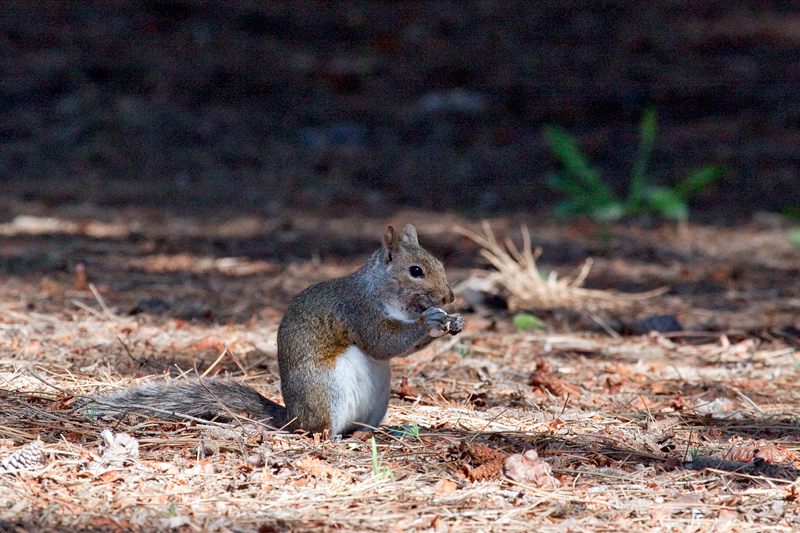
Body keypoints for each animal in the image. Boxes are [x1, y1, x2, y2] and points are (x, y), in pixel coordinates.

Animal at [94, 222, 466, 434]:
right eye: (416, 270)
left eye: (440, 262)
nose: (448, 297)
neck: (383, 289)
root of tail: (291, 417)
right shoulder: (359, 310)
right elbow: (384, 341)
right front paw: (430, 321)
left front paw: (455, 321)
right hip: (326, 391)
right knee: (317, 429)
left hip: (376, 402)